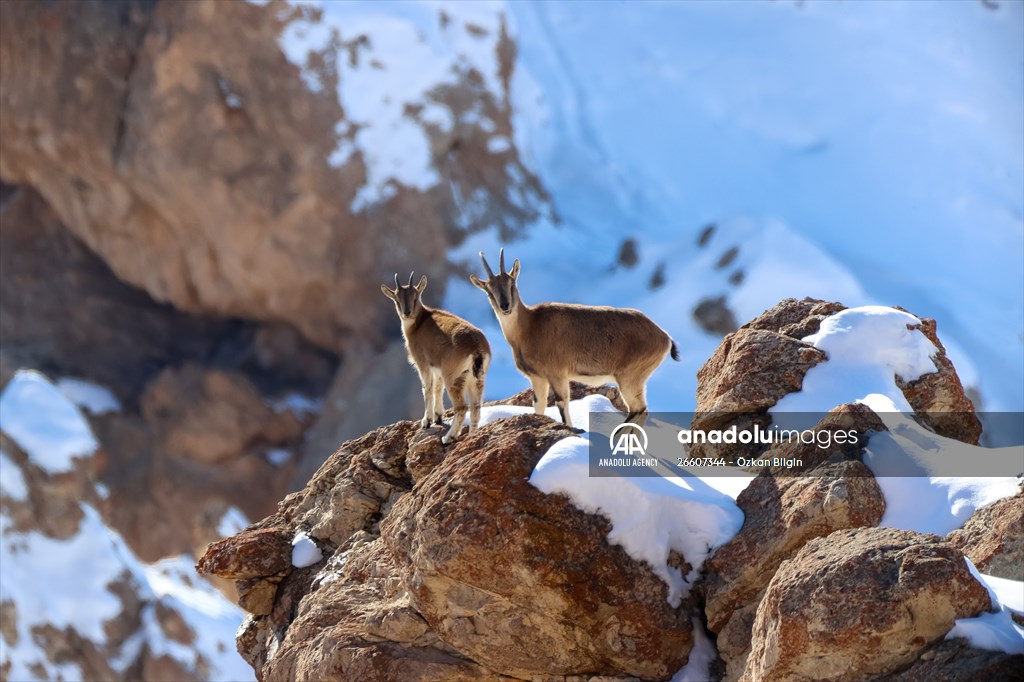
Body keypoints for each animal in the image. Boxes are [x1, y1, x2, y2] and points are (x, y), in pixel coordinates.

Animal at [382, 272, 491, 444]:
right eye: (397, 300)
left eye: (415, 297)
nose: (407, 312)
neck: (418, 323)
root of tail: (477, 347)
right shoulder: (437, 367)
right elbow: (438, 387)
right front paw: (438, 417)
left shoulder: (423, 363)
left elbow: (427, 388)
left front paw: (426, 421)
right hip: (476, 379)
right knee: (476, 407)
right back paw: (472, 436)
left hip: (453, 376)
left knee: (462, 407)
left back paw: (448, 438)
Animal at [470, 250, 678, 427]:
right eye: (489, 291)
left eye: (512, 284)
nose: (505, 306)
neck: (529, 327)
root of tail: (664, 336)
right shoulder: (538, 377)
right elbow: (539, 405)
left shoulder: (557, 374)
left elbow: (562, 404)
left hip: (630, 377)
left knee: (638, 409)